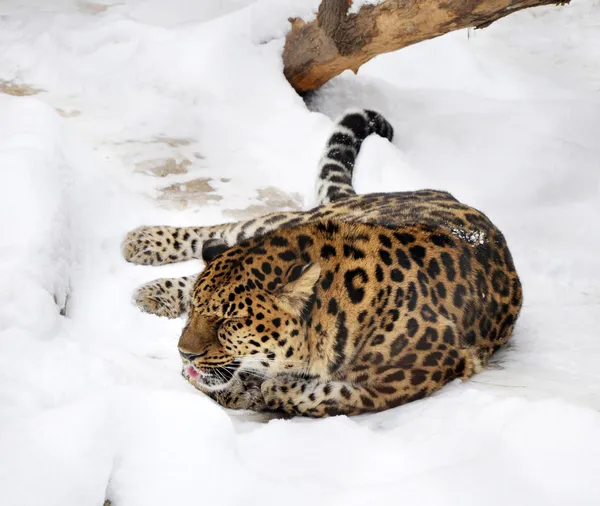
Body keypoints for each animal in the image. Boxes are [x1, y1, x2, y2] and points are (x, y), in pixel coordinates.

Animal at [122, 108, 520, 418]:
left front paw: (270, 389)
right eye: (195, 312)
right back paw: (144, 248)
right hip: (297, 220)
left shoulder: (411, 375)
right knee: (225, 231)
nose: (183, 353)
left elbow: (325, 397)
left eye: (230, 321)